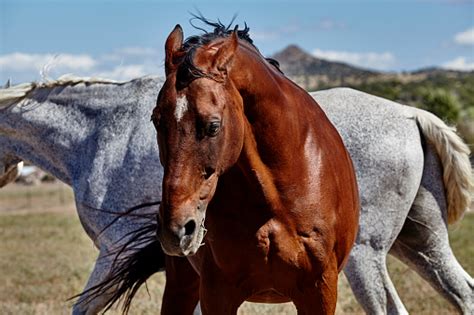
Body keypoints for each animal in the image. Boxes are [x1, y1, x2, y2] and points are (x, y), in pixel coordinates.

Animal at [0, 75, 472, 314]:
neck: (101, 132)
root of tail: (411, 113)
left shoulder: (113, 253)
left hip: (363, 259)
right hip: (421, 245)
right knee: (463, 292)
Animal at [152, 20, 360, 315]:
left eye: (213, 126)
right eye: (156, 120)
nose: (176, 230)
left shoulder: (319, 291)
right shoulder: (217, 293)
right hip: (182, 282)